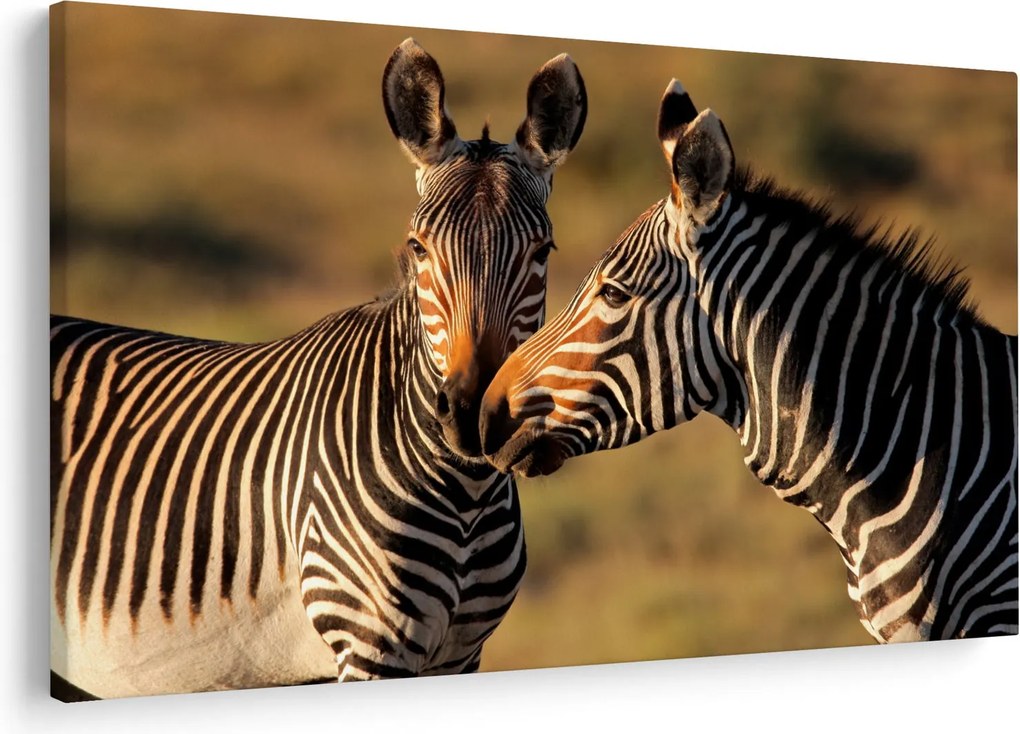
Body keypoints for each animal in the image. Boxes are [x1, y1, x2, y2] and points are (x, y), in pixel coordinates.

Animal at [50, 38, 587, 699]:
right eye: (418, 248)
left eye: (543, 252)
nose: (469, 416)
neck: (467, 494)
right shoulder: (370, 646)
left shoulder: (461, 655)